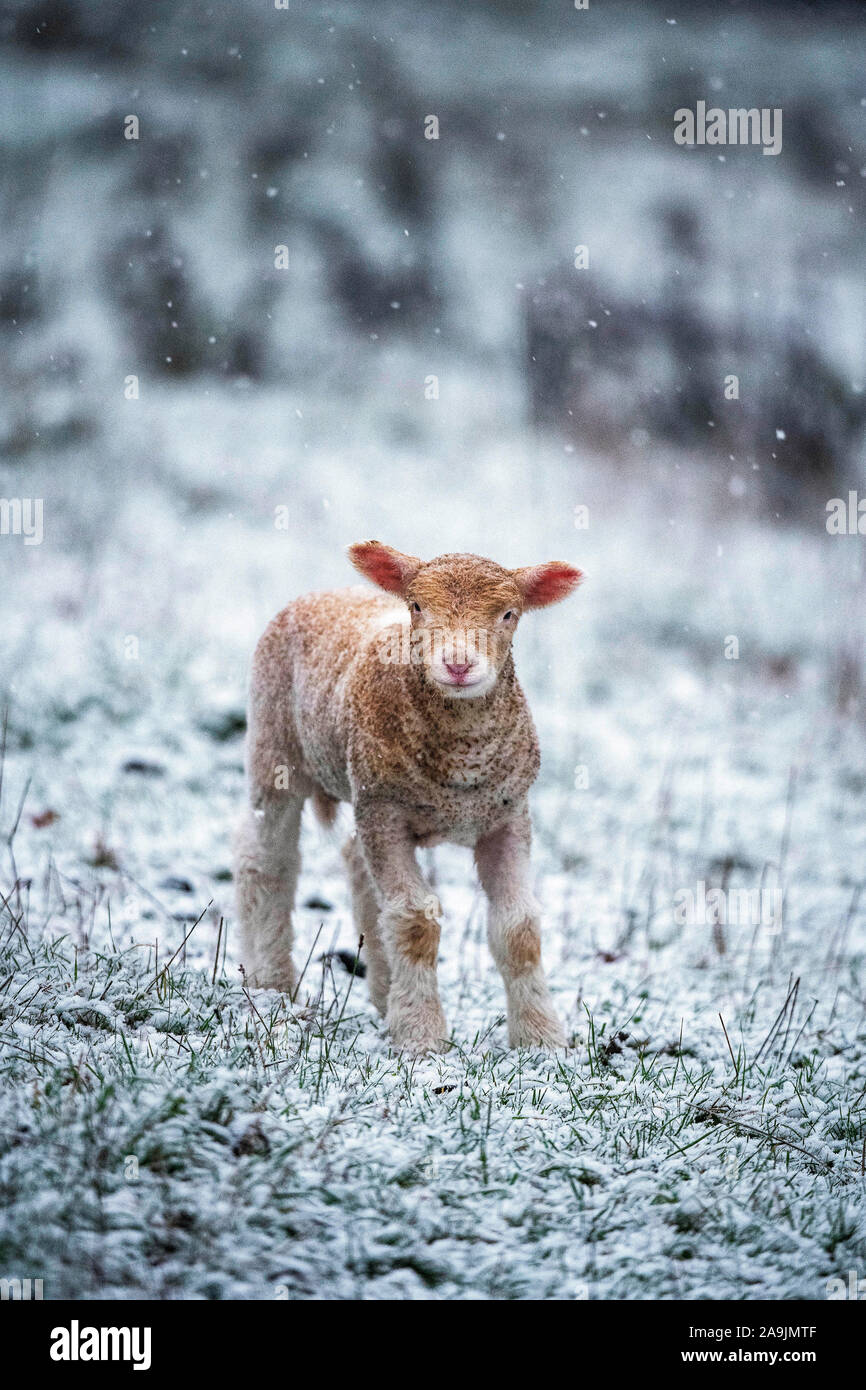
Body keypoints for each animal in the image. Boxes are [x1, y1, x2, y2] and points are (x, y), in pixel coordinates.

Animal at [233, 542, 583, 1050]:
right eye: (417, 606)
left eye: (508, 614)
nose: (458, 665)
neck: (461, 763)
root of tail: (324, 592)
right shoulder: (386, 814)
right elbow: (416, 920)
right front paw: (421, 1036)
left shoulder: (508, 816)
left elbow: (518, 927)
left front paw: (542, 1038)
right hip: (275, 746)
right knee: (265, 860)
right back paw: (271, 983)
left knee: (359, 872)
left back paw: (384, 994)